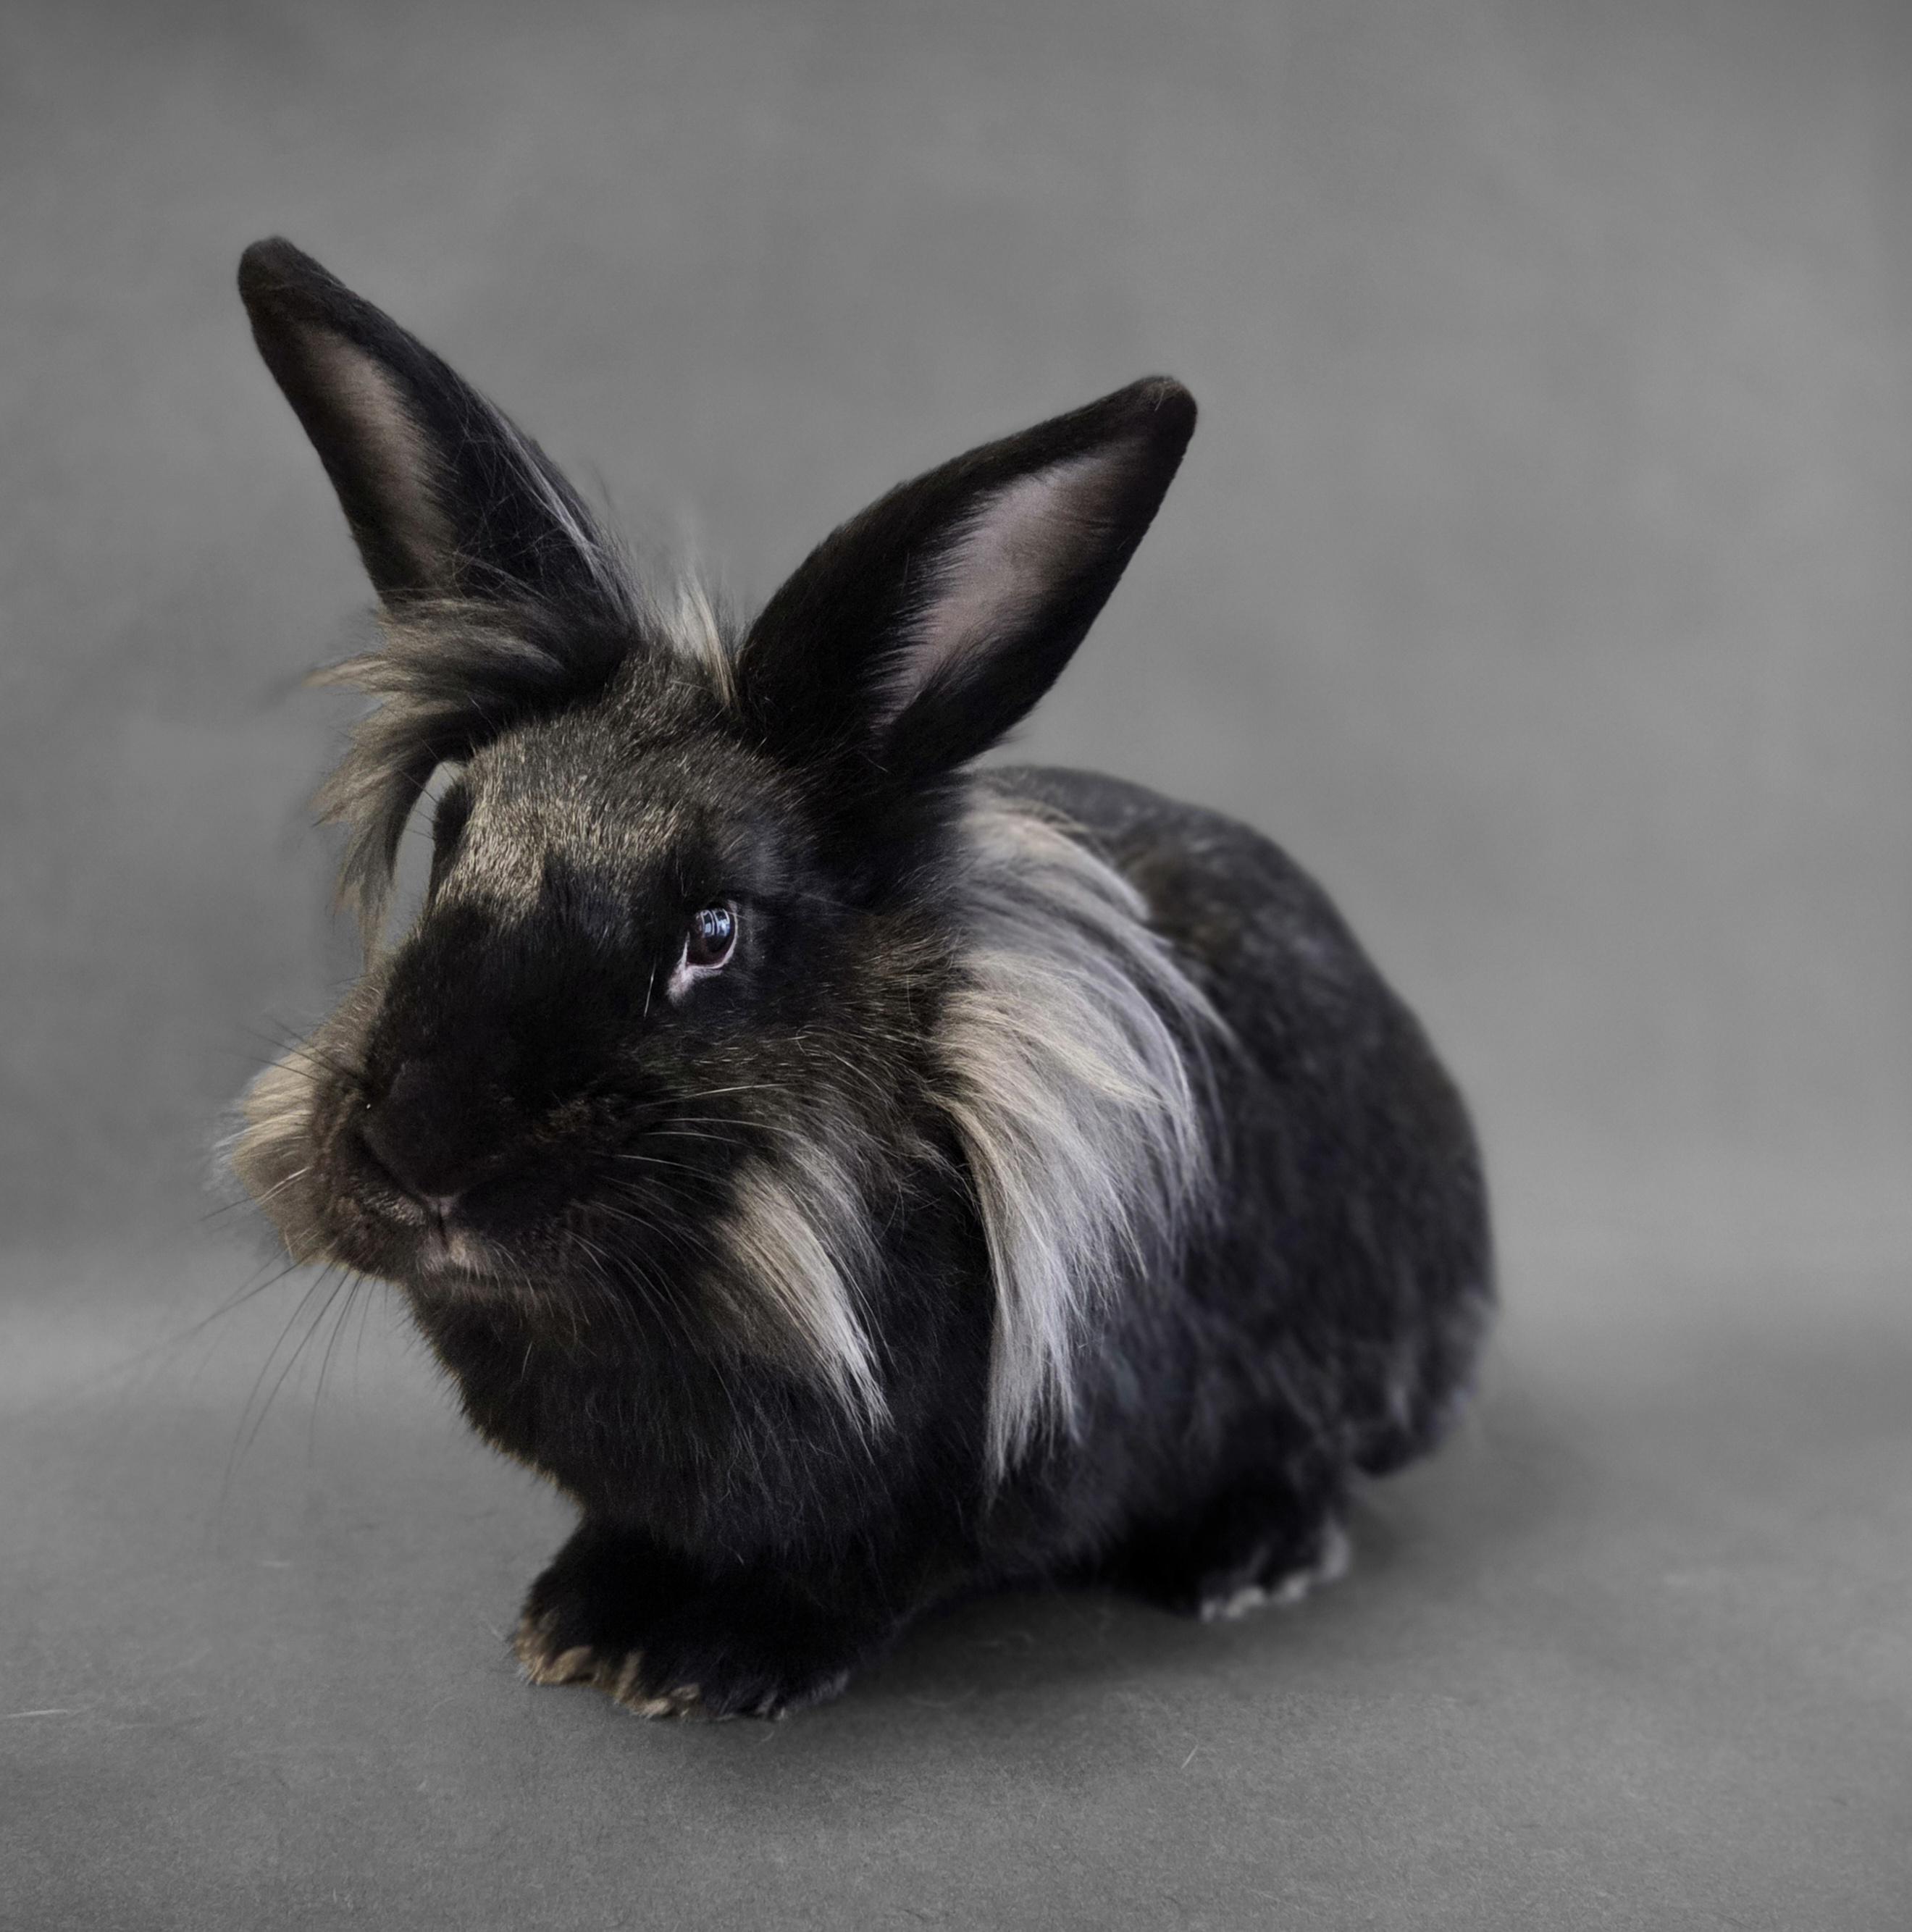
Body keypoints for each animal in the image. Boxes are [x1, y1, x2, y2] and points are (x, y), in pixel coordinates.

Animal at [229, 236, 1492, 1720]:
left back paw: (1244, 1558)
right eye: (450, 845)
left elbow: (862, 1569)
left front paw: (708, 1660)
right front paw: (577, 1619)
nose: (424, 1152)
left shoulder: (956, 1490)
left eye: (715, 931)